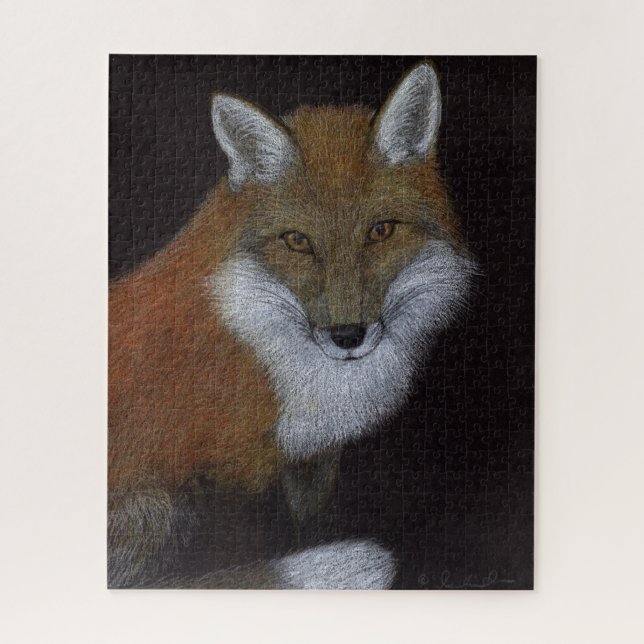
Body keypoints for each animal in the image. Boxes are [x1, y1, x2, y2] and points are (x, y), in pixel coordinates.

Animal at [108, 60, 475, 589]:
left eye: (380, 231)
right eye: (298, 241)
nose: (347, 336)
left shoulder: (311, 459)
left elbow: (308, 524)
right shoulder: (221, 473)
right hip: (156, 506)